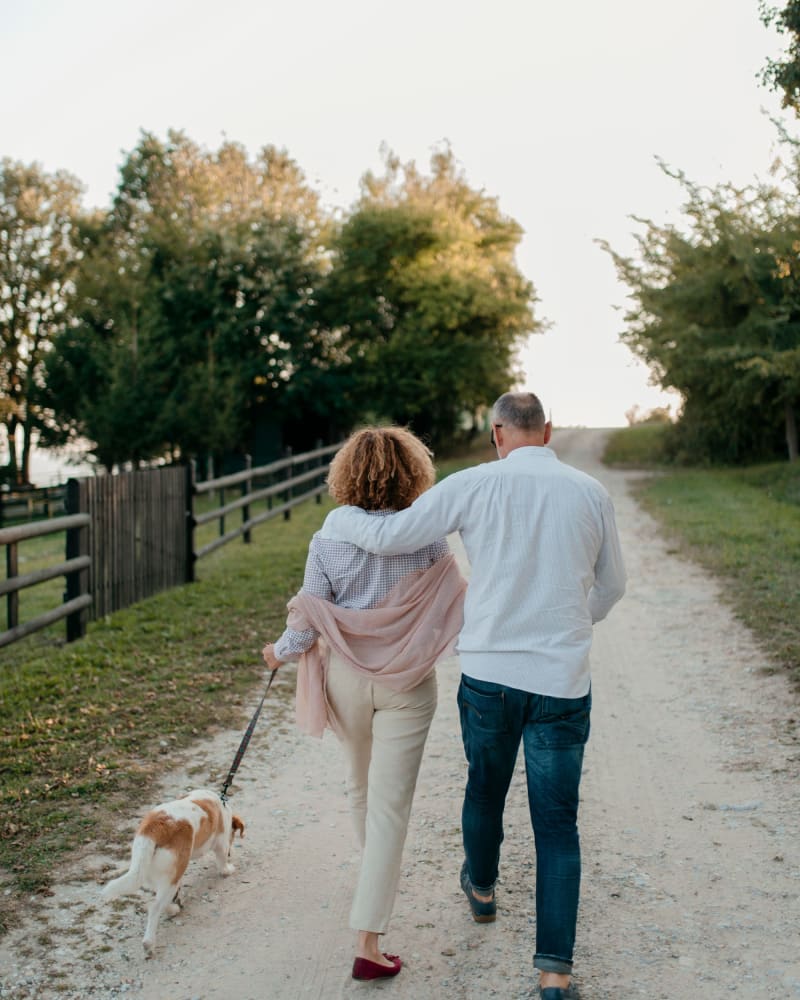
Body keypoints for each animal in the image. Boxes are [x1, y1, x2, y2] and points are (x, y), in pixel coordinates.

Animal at [104, 784, 247, 956]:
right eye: (233, 836)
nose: (231, 853)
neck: (221, 802)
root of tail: (152, 829)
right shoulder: (221, 844)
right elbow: (223, 864)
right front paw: (228, 869)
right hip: (174, 875)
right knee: (155, 907)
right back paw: (149, 942)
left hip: (157, 872)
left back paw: (173, 908)